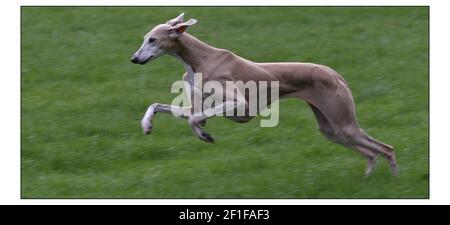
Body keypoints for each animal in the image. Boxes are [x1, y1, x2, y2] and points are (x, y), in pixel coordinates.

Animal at [131, 13, 398, 177]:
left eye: (152, 39)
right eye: (145, 39)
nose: (134, 59)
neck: (198, 60)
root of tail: (333, 72)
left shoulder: (239, 104)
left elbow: (194, 119)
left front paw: (204, 134)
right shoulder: (194, 106)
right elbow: (161, 107)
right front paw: (147, 125)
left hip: (343, 122)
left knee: (385, 149)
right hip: (332, 129)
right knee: (370, 152)